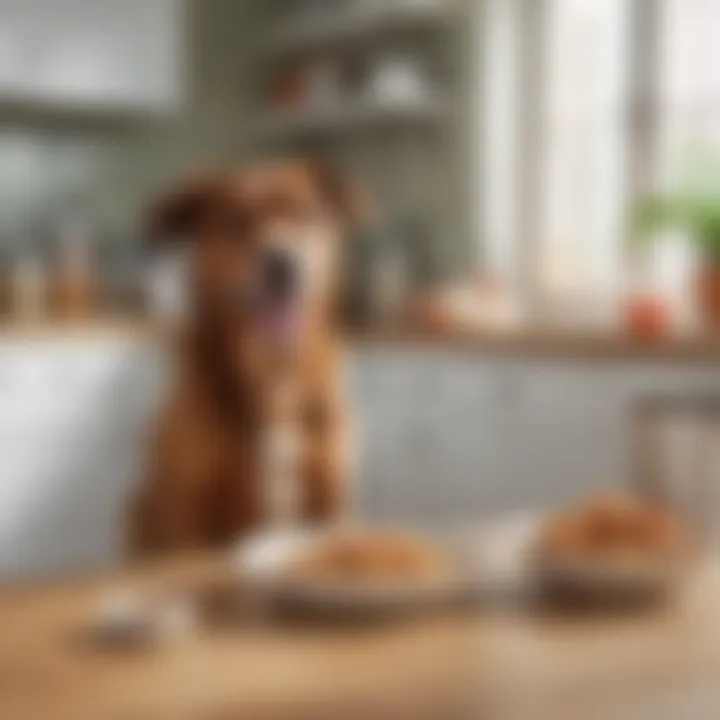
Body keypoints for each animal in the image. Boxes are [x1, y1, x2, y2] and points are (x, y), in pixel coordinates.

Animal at [130, 162, 360, 556]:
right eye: (235, 220)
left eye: (305, 214)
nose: (282, 264)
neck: (270, 370)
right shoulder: (187, 507)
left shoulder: (331, 498)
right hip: (137, 508)